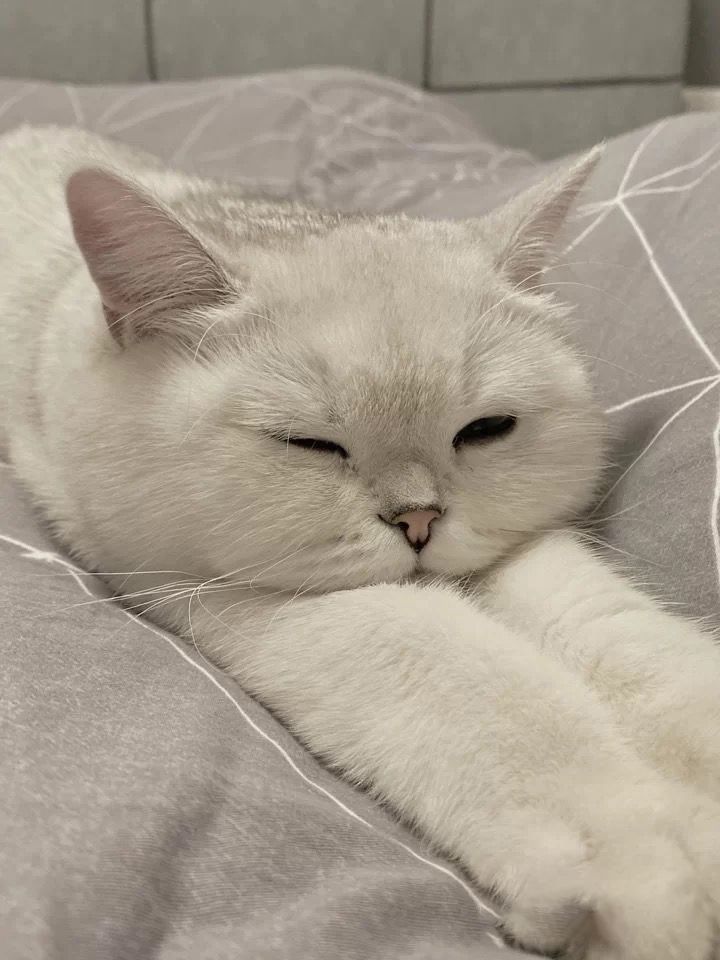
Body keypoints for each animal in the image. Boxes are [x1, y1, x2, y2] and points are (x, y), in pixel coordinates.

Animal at [1, 124, 720, 956]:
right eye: (311, 444)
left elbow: (624, 642)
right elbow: (467, 680)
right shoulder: (242, 596)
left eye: (486, 430)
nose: (419, 521)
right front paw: (646, 849)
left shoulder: (523, 557)